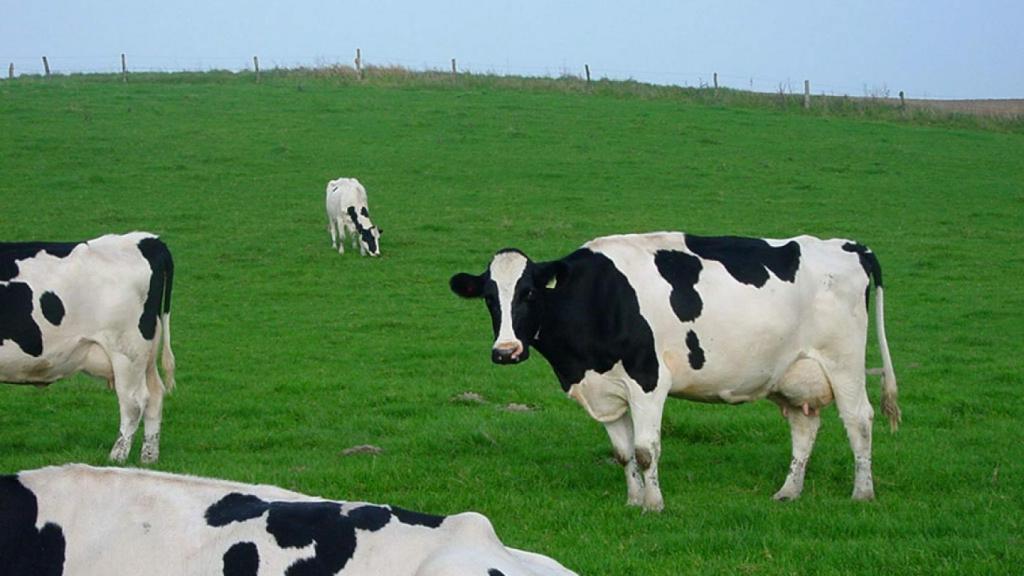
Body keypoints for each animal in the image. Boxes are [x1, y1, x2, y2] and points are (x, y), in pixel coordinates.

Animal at [0, 232, 175, 464]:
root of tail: (146, 239)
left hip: (126, 350)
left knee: (134, 402)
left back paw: (117, 456)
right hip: (145, 355)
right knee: (155, 396)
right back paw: (148, 457)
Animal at [450, 232, 900, 512]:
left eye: (528, 293)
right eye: (489, 297)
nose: (506, 351)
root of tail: (850, 246)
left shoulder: (648, 379)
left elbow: (646, 450)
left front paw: (653, 505)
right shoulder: (606, 389)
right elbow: (622, 452)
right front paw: (632, 500)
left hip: (843, 362)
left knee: (859, 420)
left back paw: (862, 493)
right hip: (791, 373)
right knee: (804, 428)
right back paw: (788, 492)